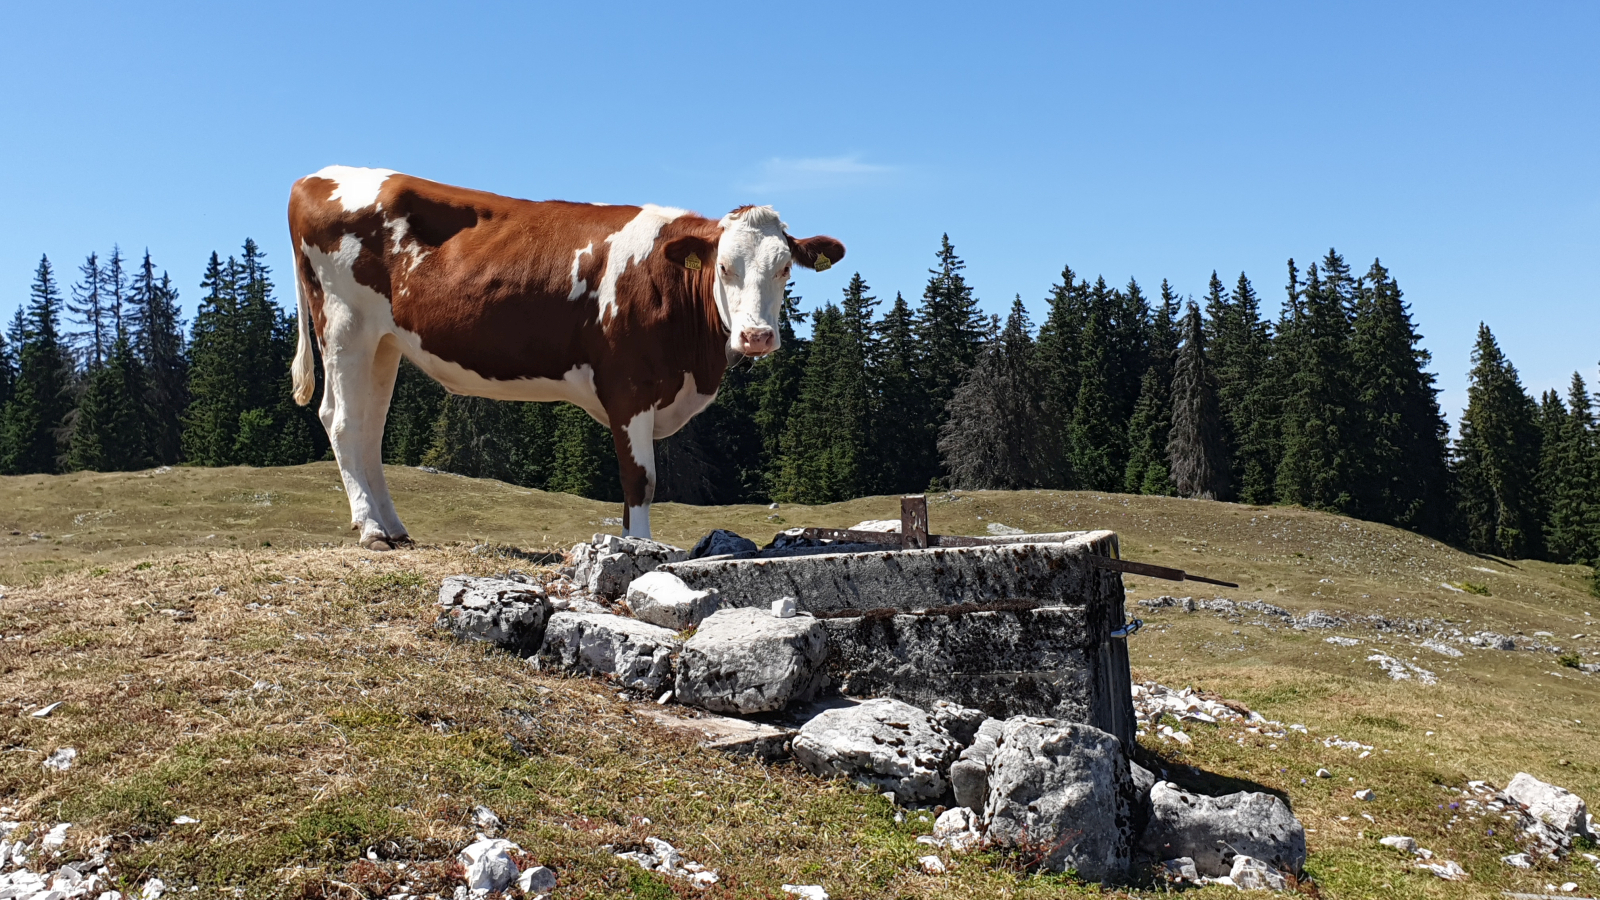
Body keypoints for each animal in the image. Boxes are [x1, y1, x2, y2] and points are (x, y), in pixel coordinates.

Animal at [289, 166, 844, 547]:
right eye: (724, 267)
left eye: (784, 269)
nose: (757, 336)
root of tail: (317, 177)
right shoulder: (628, 386)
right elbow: (641, 481)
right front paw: (642, 551)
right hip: (344, 323)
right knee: (340, 420)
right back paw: (370, 529)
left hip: (384, 343)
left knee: (369, 430)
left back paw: (394, 527)